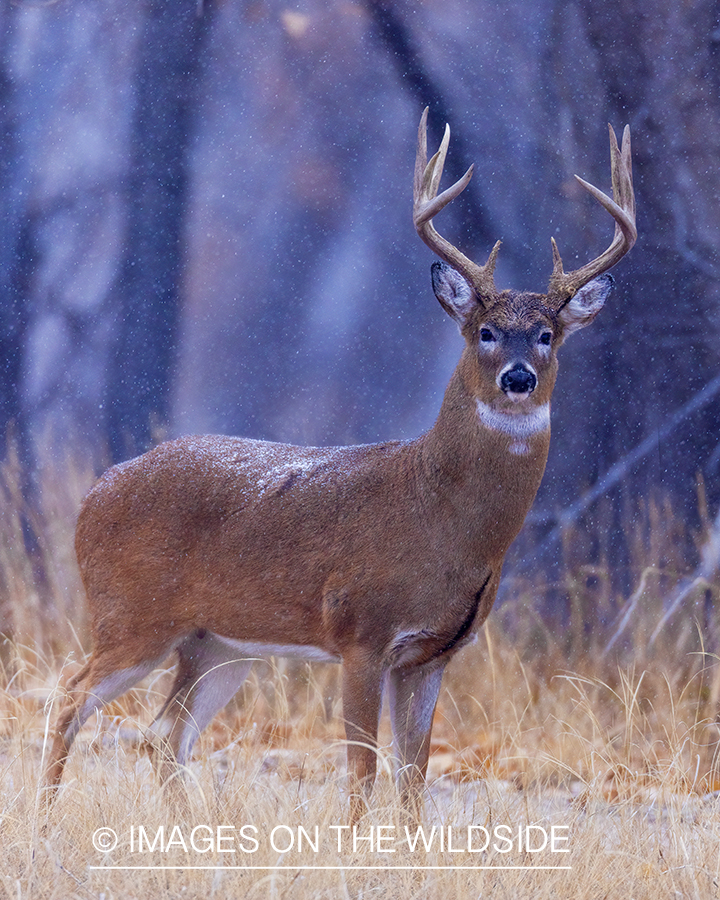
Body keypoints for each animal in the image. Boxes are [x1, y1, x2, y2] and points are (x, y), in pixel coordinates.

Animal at [43, 110, 636, 824]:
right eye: (485, 332)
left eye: (547, 335)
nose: (518, 378)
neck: (440, 519)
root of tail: (94, 494)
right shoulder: (361, 630)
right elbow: (362, 769)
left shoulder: (434, 654)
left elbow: (413, 778)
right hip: (132, 613)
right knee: (70, 696)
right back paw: (42, 820)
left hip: (220, 642)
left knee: (164, 733)